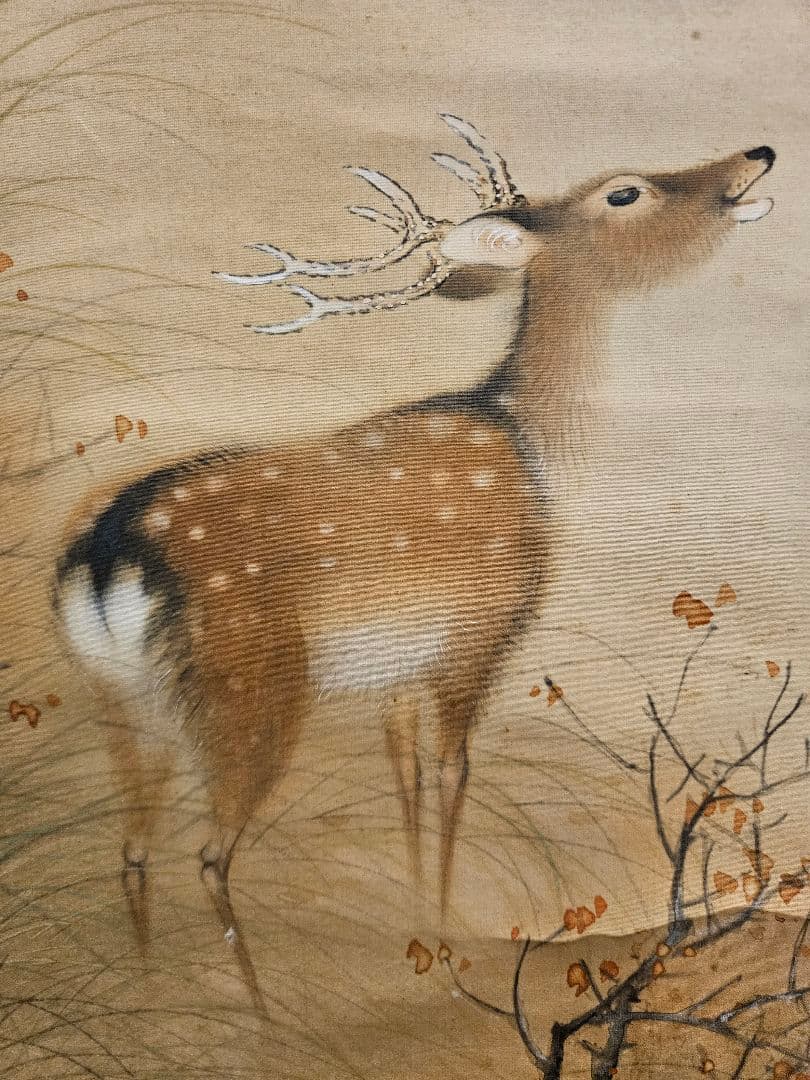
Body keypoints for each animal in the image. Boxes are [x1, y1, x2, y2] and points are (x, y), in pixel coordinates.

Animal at [53, 115, 775, 1013]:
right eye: (624, 191)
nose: (757, 155)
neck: (537, 451)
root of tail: (106, 557)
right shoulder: (480, 631)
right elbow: (452, 772)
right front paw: (443, 926)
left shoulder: (397, 671)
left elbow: (405, 783)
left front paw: (412, 916)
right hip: (248, 679)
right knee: (211, 855)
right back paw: (262, 1018)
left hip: (121, 700)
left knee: (131, 850)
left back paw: (151, 999)